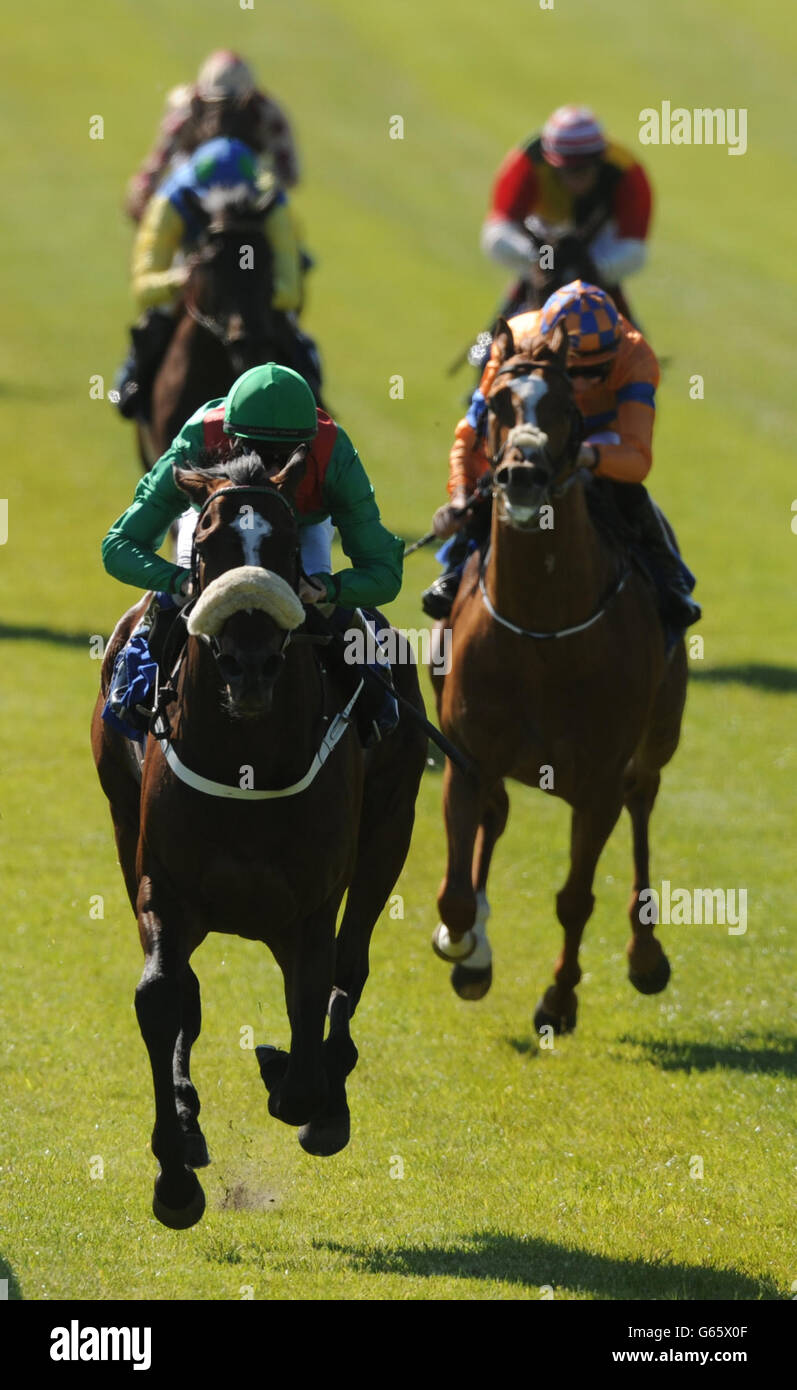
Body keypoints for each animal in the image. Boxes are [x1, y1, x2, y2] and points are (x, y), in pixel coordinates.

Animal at [91, 453, 425, 1228]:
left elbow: (309, 1008)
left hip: (389, 834)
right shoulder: (162, 883)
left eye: (283, 546)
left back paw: (325, 1098)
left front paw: (294, 1081)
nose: (248, 662)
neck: (245, 761)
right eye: (207, 545)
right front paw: (175, 1174)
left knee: (349, 968)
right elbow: (162, 997)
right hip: (123, 824)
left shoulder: (309, 905)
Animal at [431, 318, 687, 1034]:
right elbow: (455, 896)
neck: (541, 632)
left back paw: (647, 955)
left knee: (643, 800)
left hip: (656, 738)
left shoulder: (598, 781)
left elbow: (575, 897)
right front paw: (465, 948)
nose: (521, 474)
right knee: (496, 817)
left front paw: (559, 998)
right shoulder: (467, 756)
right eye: (497, 402)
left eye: (567, 408)